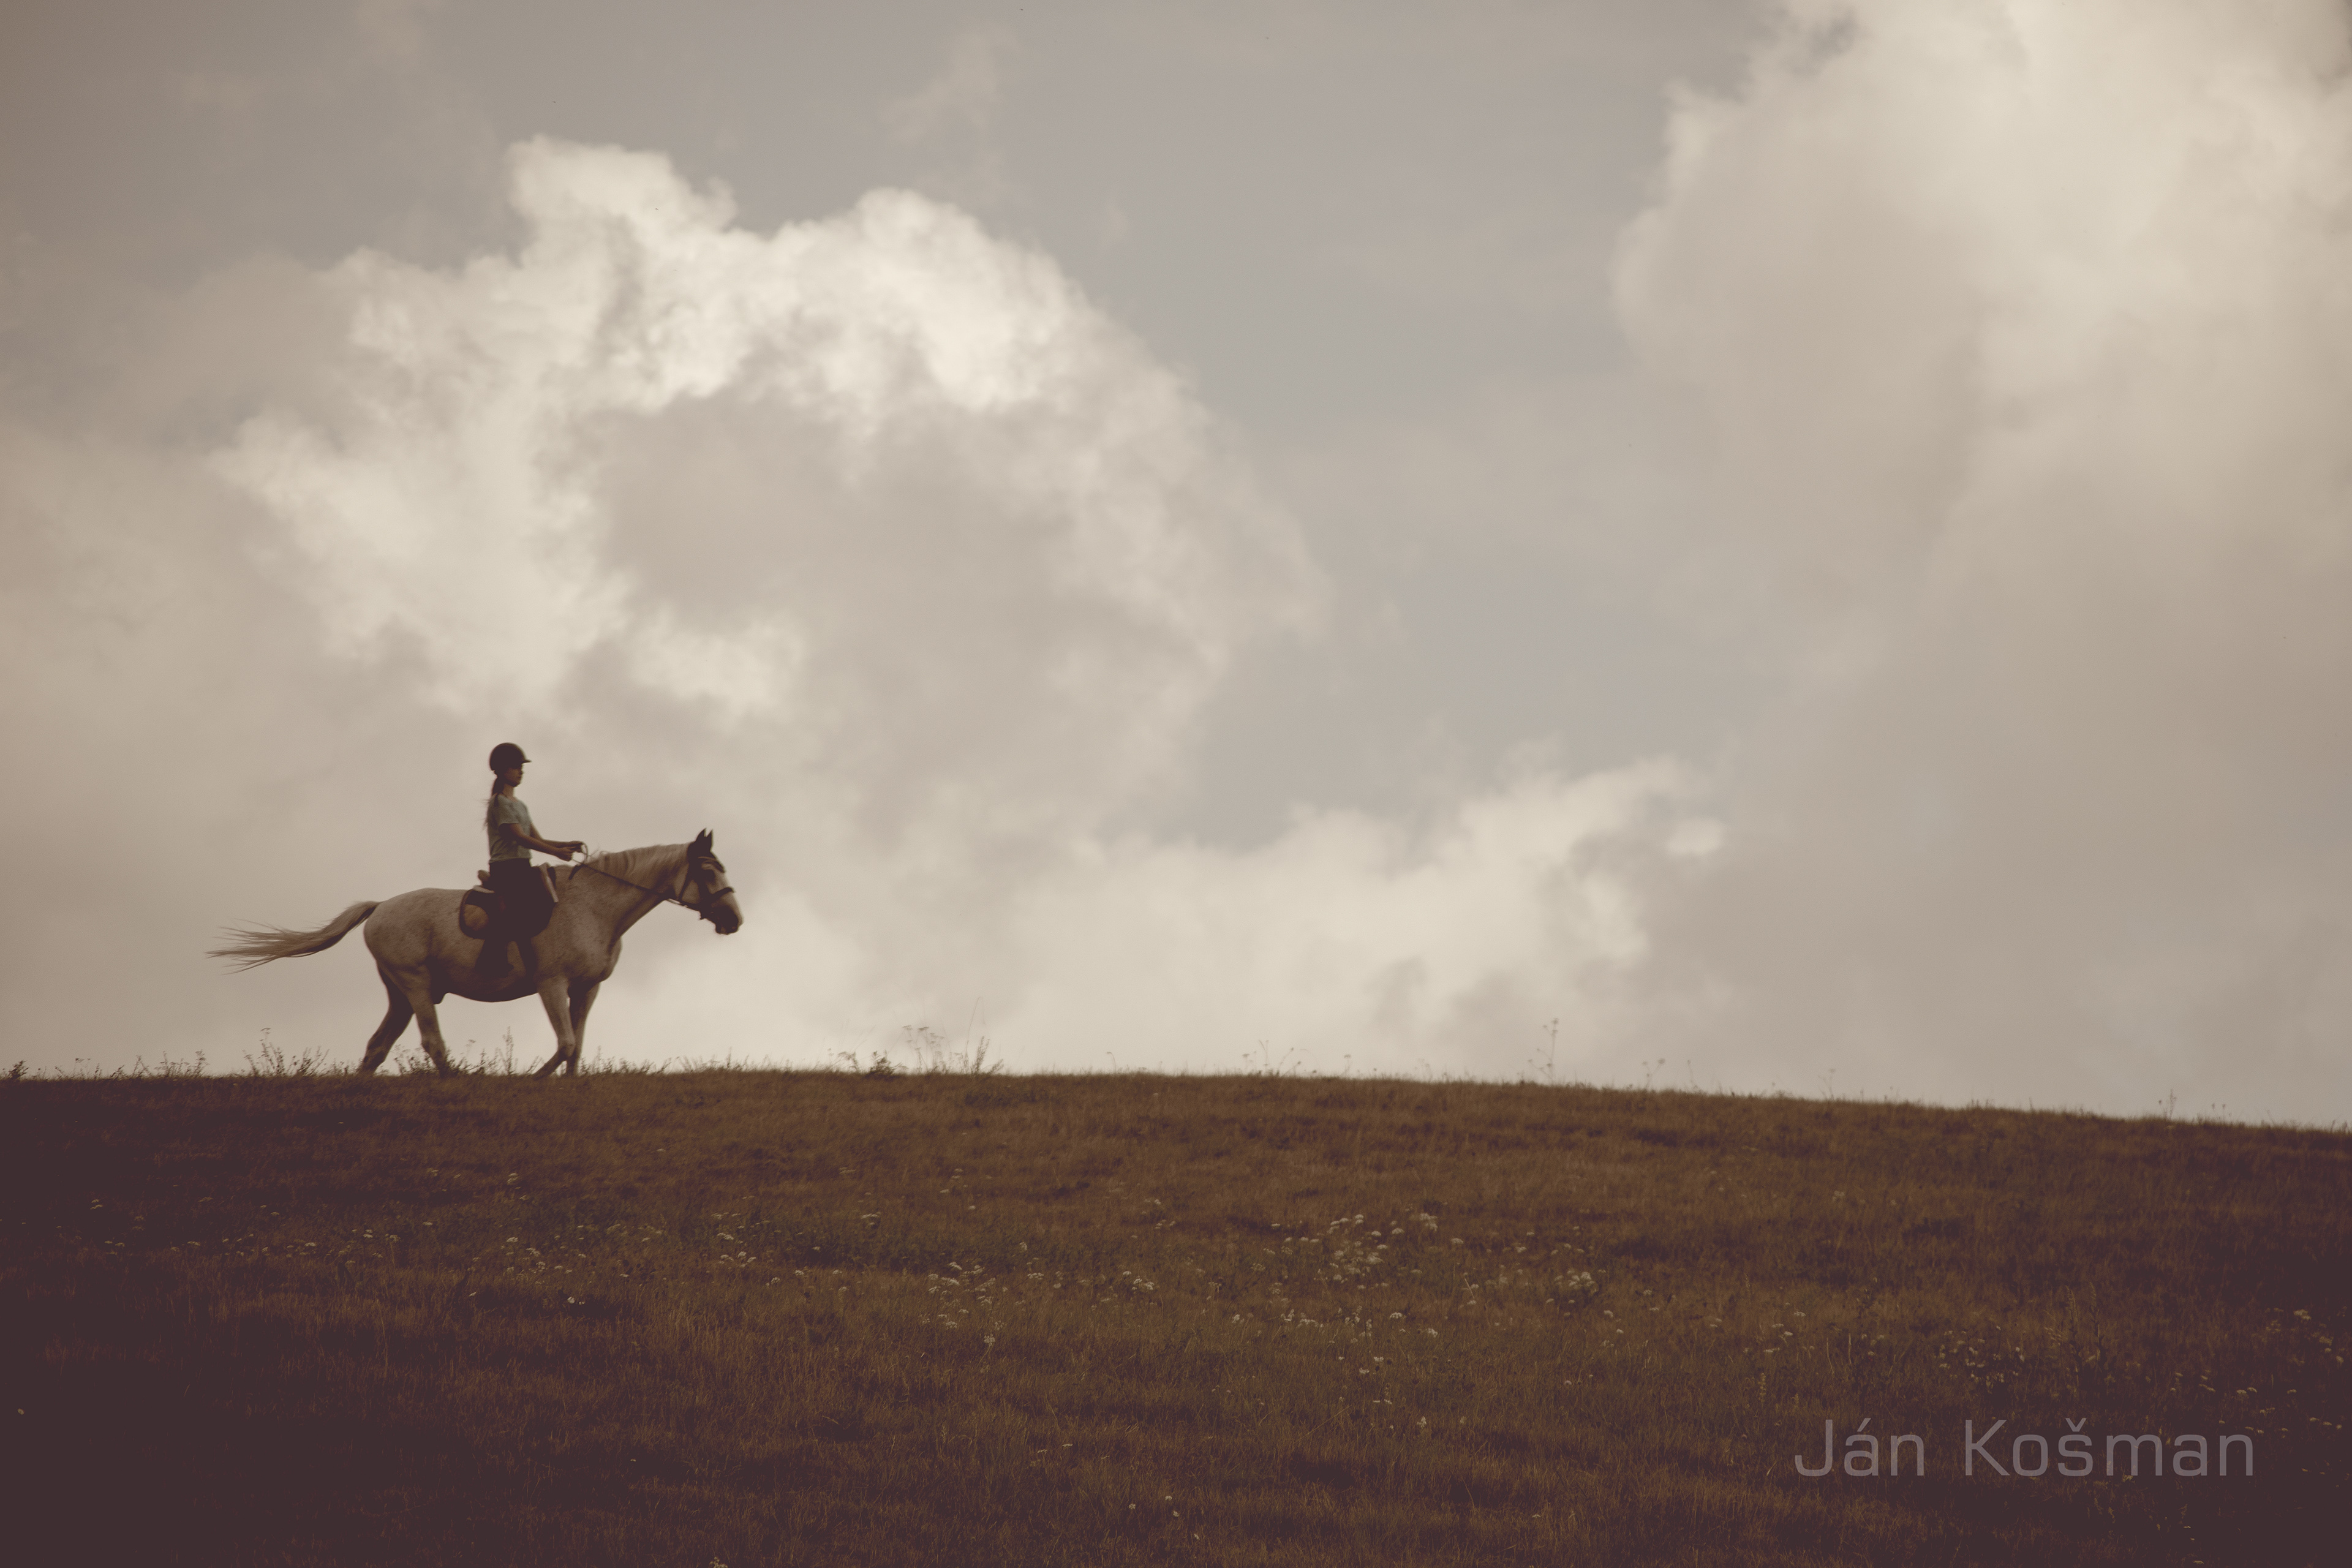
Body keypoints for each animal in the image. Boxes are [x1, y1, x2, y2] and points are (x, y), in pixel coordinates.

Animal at [211, 831, 742, 1079]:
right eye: (709, 871)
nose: (734, 919)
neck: (594, 907)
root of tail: (380, 907)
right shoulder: (552, 985)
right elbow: (565, 1043)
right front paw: (533, 1080)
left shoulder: (587, 989)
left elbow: (576, 1048)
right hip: (416, 985)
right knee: (432, 1043)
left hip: (399, 994)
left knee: (377, 1047)